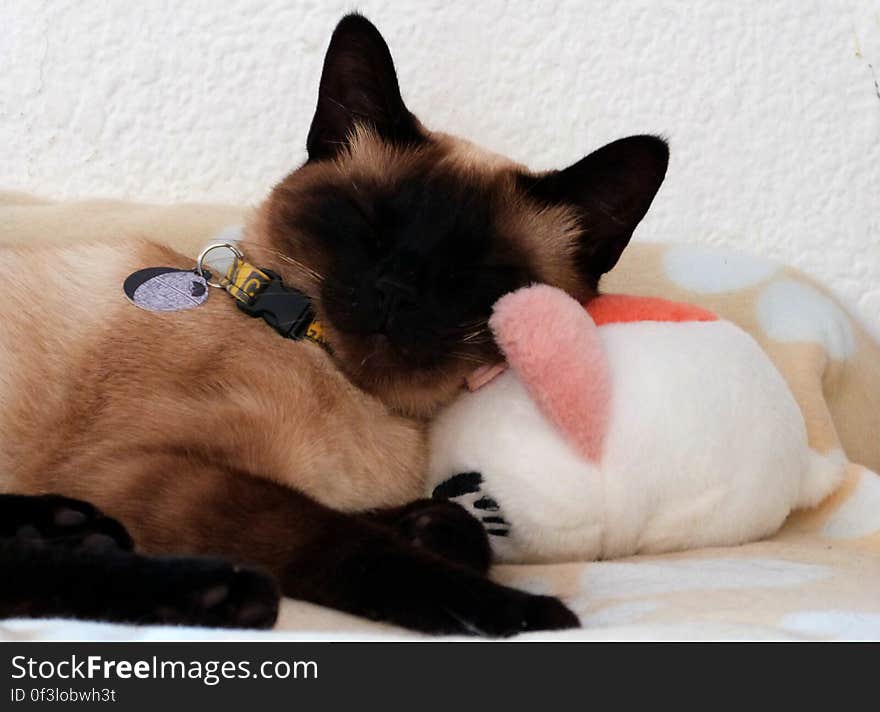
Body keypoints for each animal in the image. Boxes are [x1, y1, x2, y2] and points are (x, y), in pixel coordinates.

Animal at [0, 13, 668, 636]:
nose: (395, 291)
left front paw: (429, 526)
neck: (351, 389)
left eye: (473, 271)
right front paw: (522, 614)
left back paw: (72, 528)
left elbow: (448, 525)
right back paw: (219, 591)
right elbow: (347, 545)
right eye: (368, 225)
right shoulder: (148, 471)